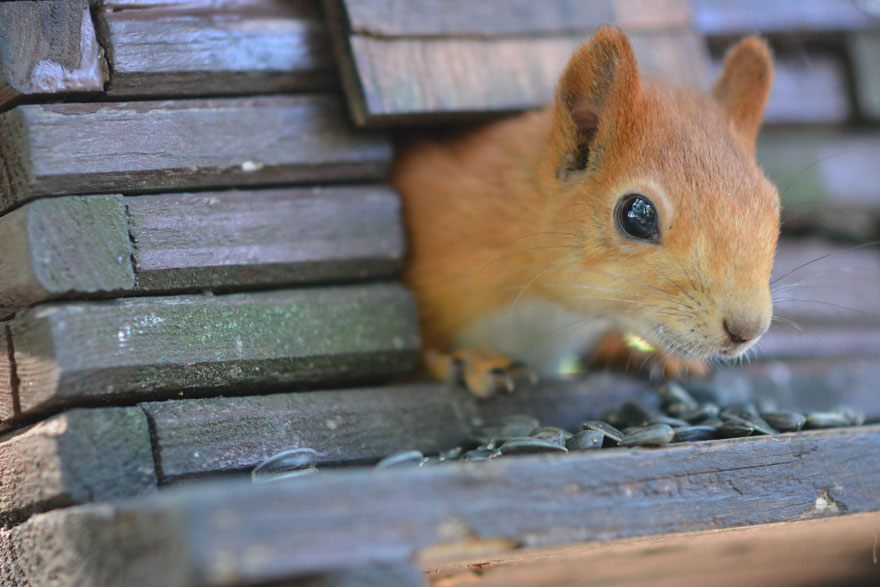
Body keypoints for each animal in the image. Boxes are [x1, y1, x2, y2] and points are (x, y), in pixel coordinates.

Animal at [396, 25, 780, 398]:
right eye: (637, 215)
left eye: (773, 205)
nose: (747, 330)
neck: (550, 309)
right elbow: (418, 352)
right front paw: (470, 361)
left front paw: (658, 358)